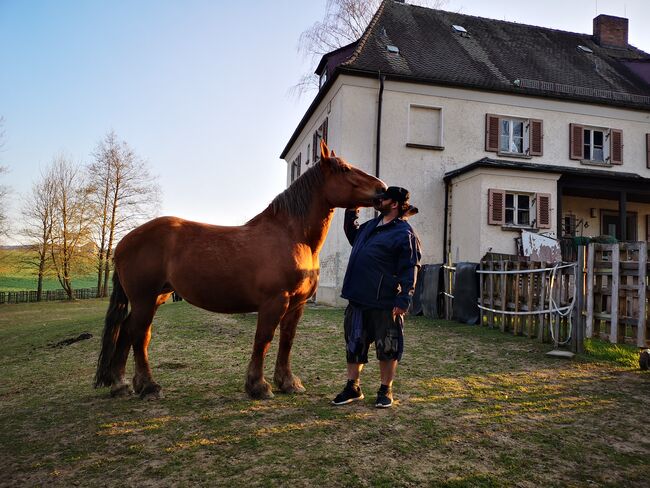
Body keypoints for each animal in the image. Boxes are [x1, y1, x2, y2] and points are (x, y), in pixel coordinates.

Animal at [92, 141, 384, 400]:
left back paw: (121, 384)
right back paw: (149, 387)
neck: (291, 235)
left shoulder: (296, 305)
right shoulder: (274, 302)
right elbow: (263, 340)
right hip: (144, 298)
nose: (382, 189)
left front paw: (288, 383)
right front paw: (258, 386)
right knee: (139, 335)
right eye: (344, 169)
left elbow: (286, 341)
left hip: (155, 297)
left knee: (127, 331)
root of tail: (123, 242)